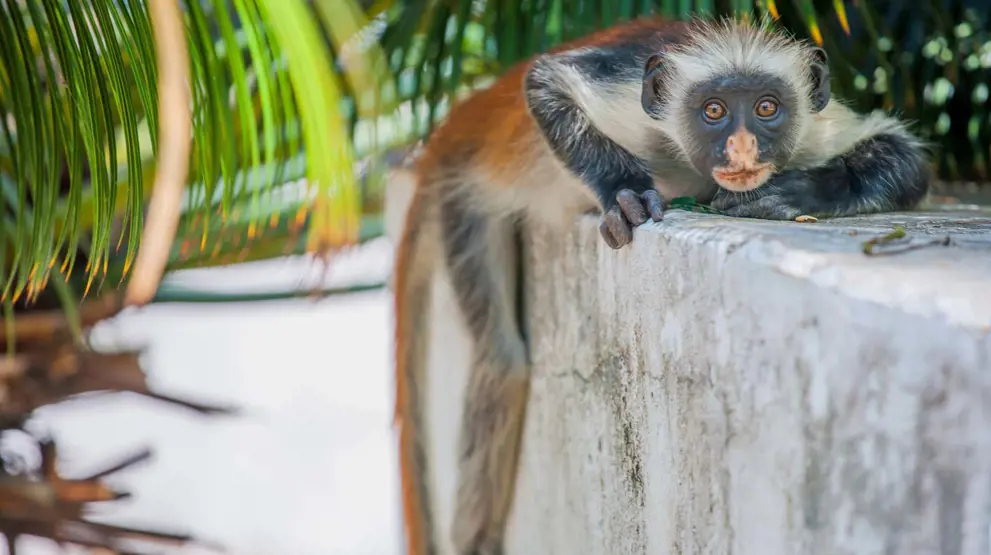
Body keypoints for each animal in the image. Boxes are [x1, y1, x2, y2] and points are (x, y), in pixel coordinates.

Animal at [394, 14, 928, 555]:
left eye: (766, 108)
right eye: (713, 111)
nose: (741, 148)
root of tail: (455, 131)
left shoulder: (812, 132)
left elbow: (907, 160)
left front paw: (795, 192)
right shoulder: (633, 103)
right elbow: (545, 81)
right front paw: (622, 188)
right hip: (464, 200)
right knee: (502, 360)